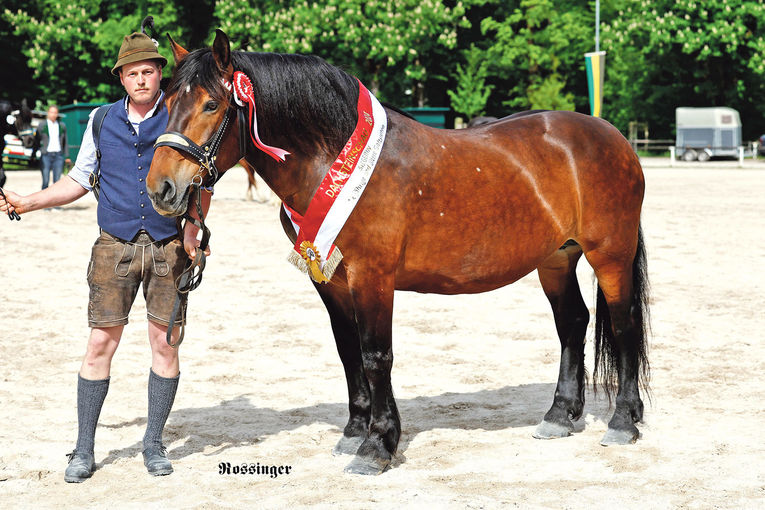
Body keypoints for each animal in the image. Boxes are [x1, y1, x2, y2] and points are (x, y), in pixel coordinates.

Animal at [146, 29, 648, 476]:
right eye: (166, 104)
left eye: (212, 104)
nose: (161, 188)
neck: (332, 158)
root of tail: (614, 137)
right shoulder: (329, 278)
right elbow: (348, 351)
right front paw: (354, 431)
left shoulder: (373, 276)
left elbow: (375, 355)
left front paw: (377, 445)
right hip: (556, 259)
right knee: (573, 323)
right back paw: (559, 415)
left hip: (610, 255)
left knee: (623, 324)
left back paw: (623, 422)